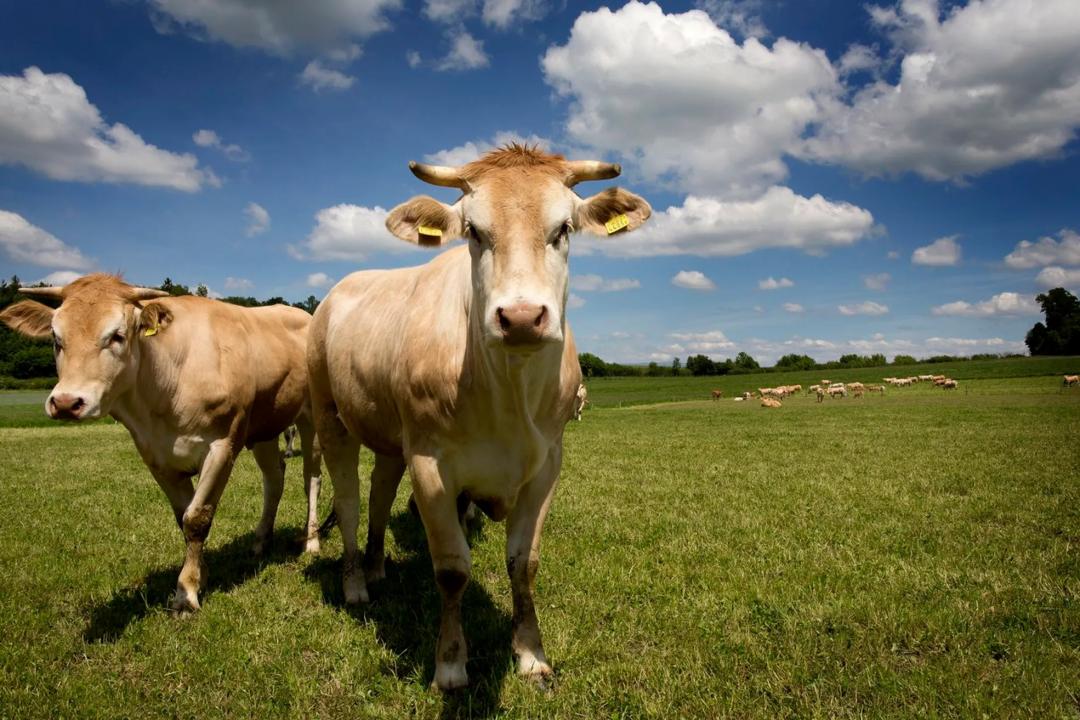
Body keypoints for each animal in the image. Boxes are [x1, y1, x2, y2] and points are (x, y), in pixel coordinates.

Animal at [0, 276, 321, 613]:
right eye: (56, 338)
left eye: (117, 335)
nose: (65, 403)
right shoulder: (155, 455)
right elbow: (183, 519)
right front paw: (198, 575)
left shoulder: (223, 445)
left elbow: (197, 517)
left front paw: (186, 594)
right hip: (265, 426)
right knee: (274, 479)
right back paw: (261, 541)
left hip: (311, 418)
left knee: (311, 478)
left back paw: (311, 541)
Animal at [308, 146, 652, 690]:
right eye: (473, 231)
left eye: (564, 229)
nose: (522, 317)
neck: (508, 394)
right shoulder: (430, 464)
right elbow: (452, 569)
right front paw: (450, 663)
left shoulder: (546, 465)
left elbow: (523, 562)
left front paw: (530, 653)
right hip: (330, 417)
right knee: (349, 503)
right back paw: (356, 583)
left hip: (389, 435)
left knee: (380, 490)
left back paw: (379, 566)